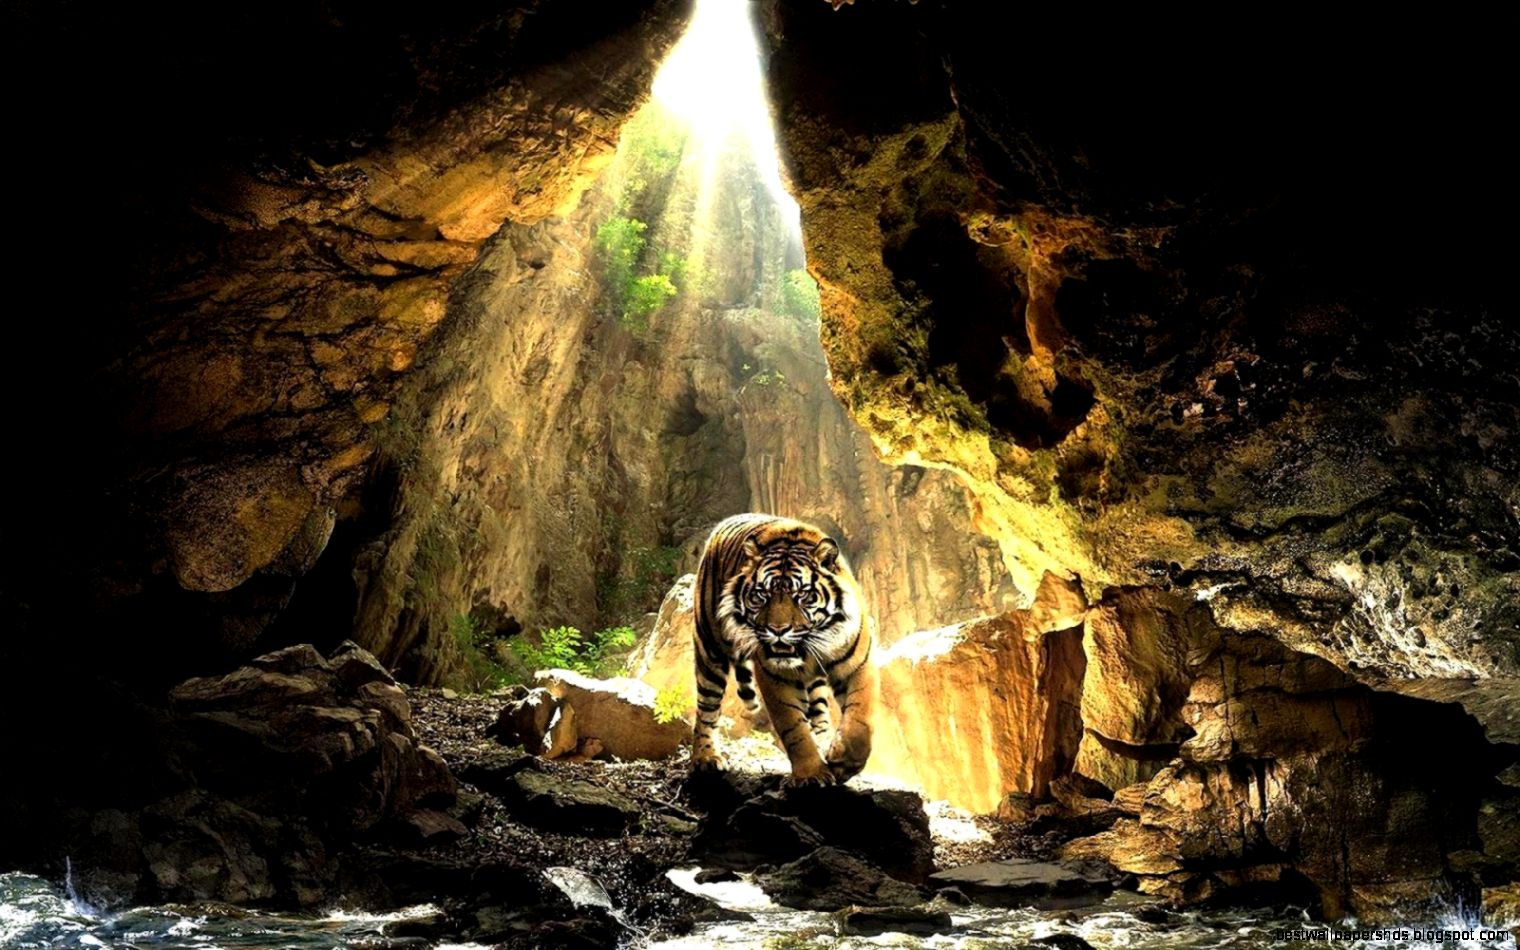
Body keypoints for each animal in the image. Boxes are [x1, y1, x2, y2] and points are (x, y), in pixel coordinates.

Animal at [690, 513, 876, 785]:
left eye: (803, 595)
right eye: (761, 595)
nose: (778, 630)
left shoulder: (859, 665)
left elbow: (860, 718)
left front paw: (843, 762)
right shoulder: (776, 676)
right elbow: (793, 727)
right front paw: (811, 774)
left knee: (819, 710)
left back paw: (824, 741)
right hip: (710, 649)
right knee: (707, 708)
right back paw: (705, 758)